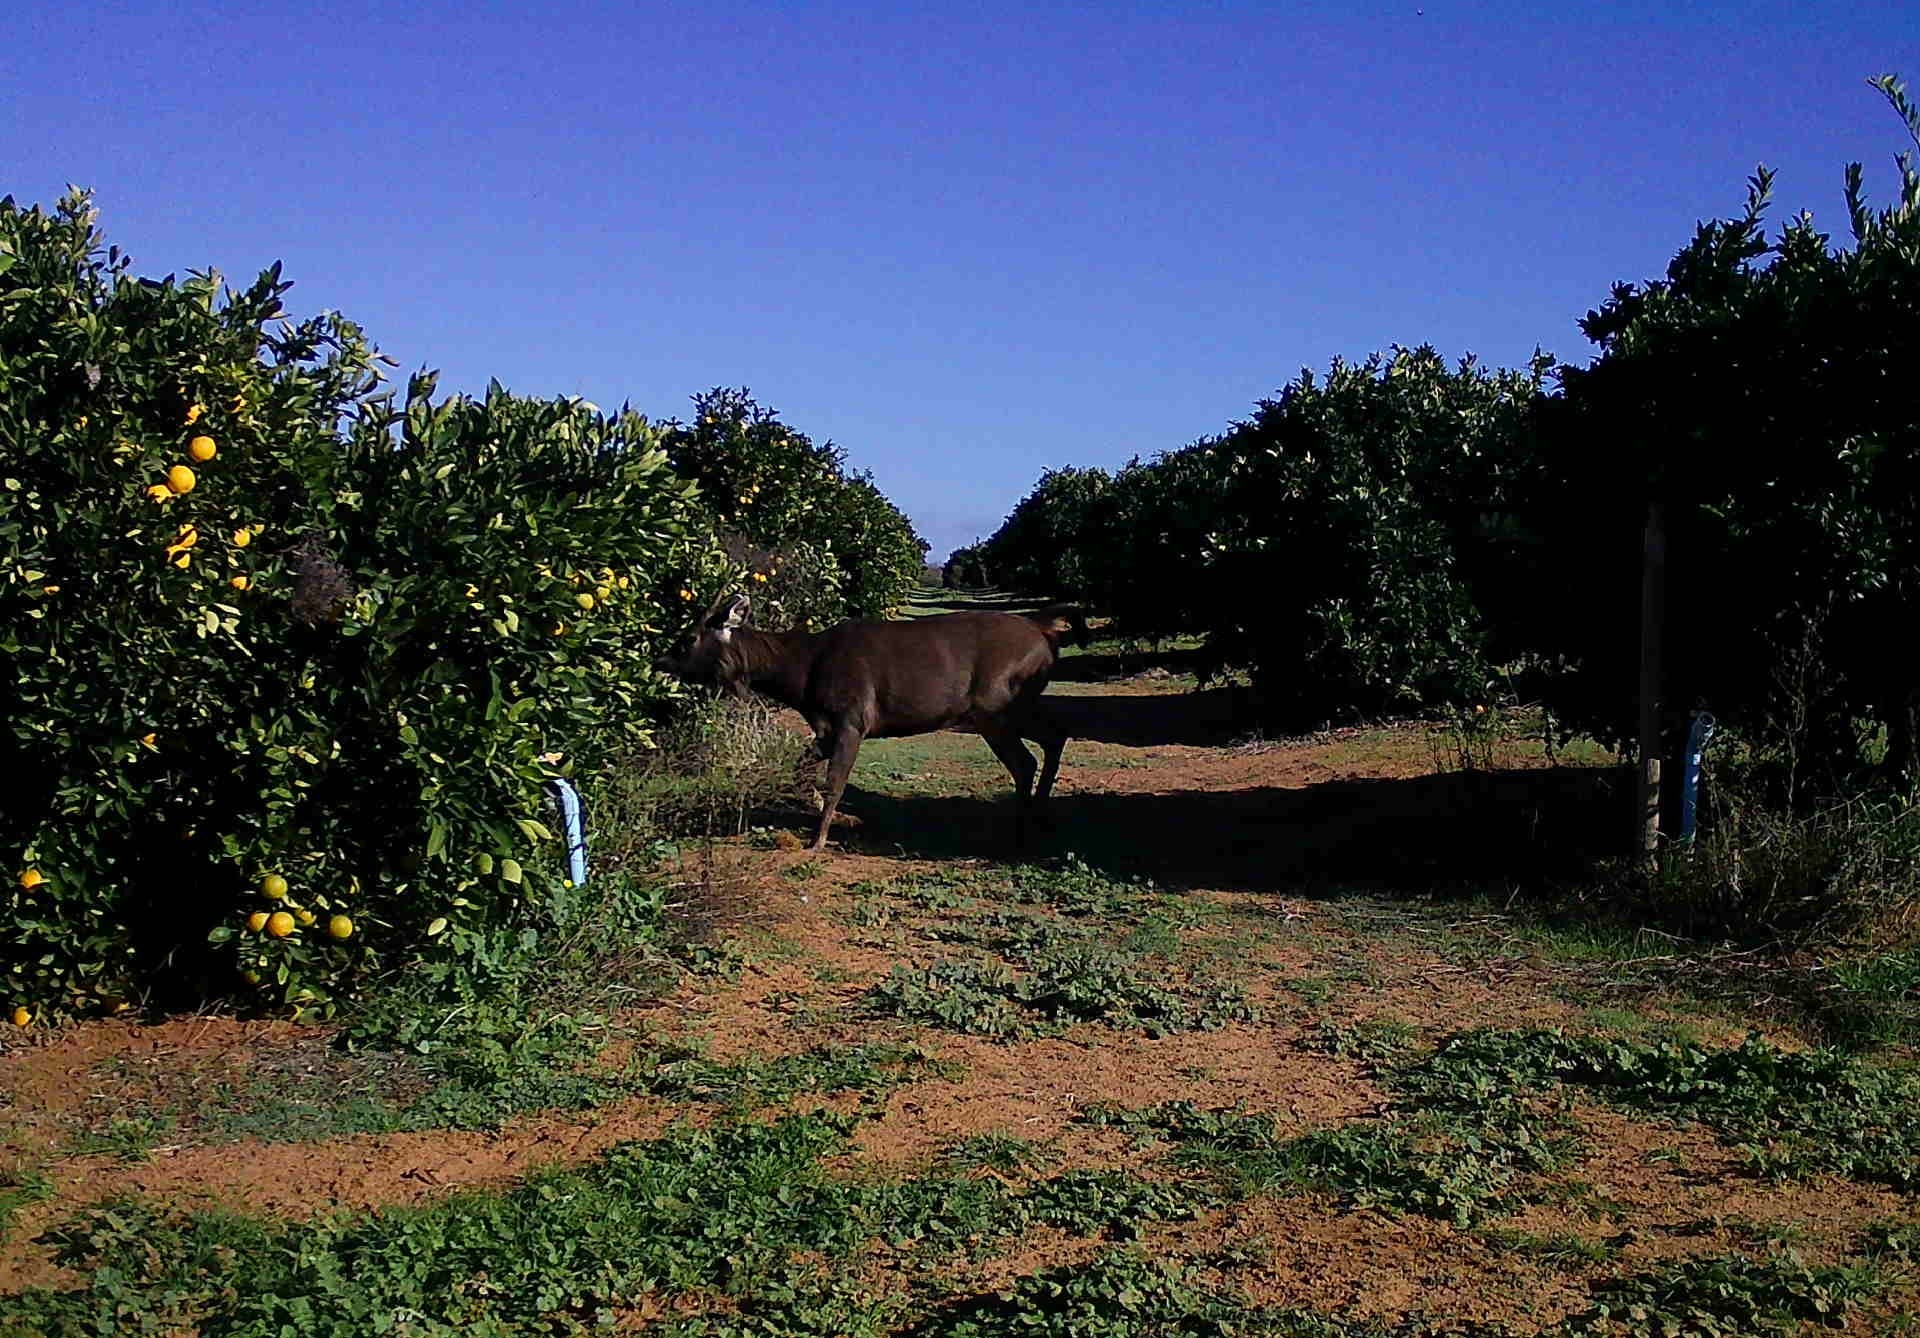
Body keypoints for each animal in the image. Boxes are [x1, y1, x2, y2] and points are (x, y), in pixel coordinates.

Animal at [666, 594, 1083, 850]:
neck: (802, 675)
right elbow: (801, 769)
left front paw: (817, 840)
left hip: (994, 704)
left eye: (688, 639)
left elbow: (835, 782)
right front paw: (829, 815)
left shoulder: (852, 718)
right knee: (1053, 736)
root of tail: (1044, 633)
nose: (660, 661)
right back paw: (1038, 817)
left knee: (1025, 760)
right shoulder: (825, 728)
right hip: (1011, 705)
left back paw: (1019, 828)